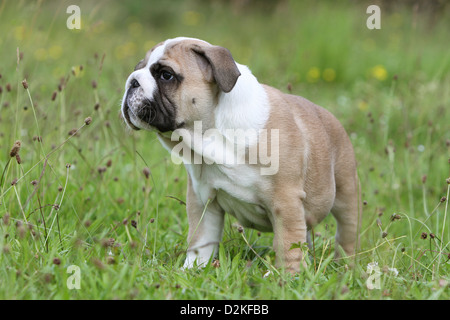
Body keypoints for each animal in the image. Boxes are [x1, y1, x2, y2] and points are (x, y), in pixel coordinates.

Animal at [121, 37, 360, 272]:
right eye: (137, 69)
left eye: (166, 75)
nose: (132, 81)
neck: (211, 136)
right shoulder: (203, 200)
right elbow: (200, 241)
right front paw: (192, 270)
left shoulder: (286, 202)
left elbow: (288, 244)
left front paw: (286, 277)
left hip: (346, 194)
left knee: (346, 232)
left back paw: (345, 266)